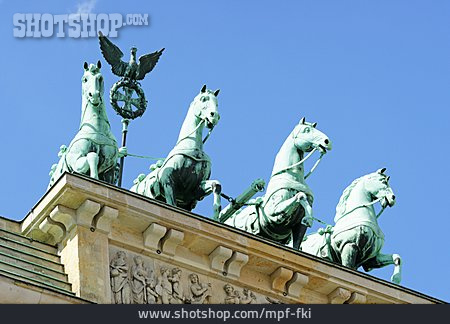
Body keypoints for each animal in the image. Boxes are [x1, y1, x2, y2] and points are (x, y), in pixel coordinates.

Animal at [48, 61, 120, 189]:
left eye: (100, 78)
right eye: (85, 79)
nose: (94, 95)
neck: (97, 128)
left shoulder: (109, 169)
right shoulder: (76, 163)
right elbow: (92, 156)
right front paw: (94, 177)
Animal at [129, 85, 222, 218]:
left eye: (217, 103)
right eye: (203, 99)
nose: (214, 116)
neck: (193, 147)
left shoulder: (193, 191)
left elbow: (217, 185)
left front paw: (216, 215)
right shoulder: (167, 182)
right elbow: (171, 204)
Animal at [223, 118, 332, 248]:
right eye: (306, 130)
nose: (327, 141)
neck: (292, 176)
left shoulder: (298, 227)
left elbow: (296, 245)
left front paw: (308, 218)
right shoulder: (274, 214)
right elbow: (300, 195)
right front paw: (308, 218)